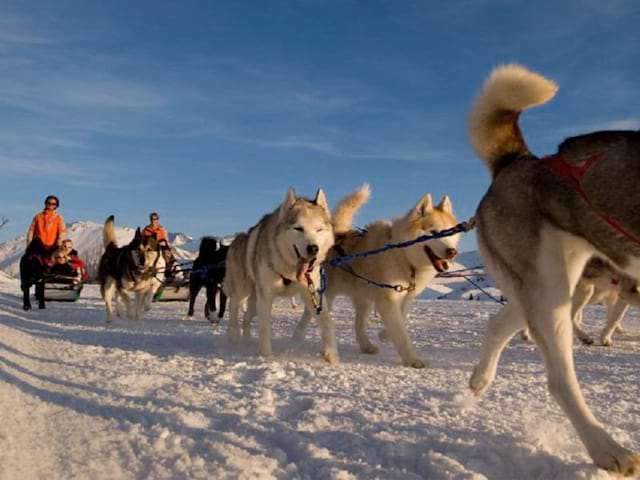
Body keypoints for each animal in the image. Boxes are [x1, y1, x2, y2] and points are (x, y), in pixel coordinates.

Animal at [222, 189, 338, 362]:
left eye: (319, 229)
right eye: (298, 228)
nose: (313, 248)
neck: (290, 270)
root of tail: (236, 240)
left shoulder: (313, 293)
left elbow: (327, 323)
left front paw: (332, 356)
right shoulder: (266, 297)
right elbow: (264, 328)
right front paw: (265, 356)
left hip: (254, 302)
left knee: (247, 318)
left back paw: (247, 340)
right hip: (242, 289)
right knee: (234, 307)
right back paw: (234, 335)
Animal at [292, 185, 458, 368]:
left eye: (450, 233)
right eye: (434, 232)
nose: (452, 252)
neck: (403, 255)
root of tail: (338, 234)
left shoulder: (403, 296)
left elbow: (402, 318)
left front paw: (385, 334)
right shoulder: (388, 300)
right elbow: (402, 335)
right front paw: (412, 359)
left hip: (364, 300)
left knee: (358, 324)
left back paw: (366, 345)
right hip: (326, 294)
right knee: (310, 315)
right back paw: (298, 337)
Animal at [464, 62, 640, 472]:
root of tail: (523, 162)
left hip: (545, 287)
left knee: (499, 324)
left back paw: (481, 379)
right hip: (549, 291)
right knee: (560, 381)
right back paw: (607, 448)